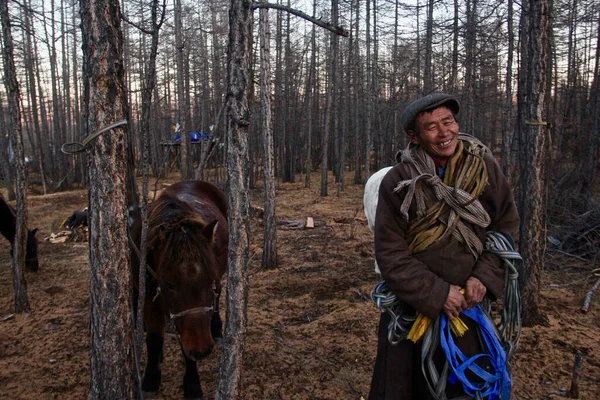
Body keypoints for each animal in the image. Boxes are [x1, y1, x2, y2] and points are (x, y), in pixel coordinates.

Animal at [131, 182, 227, 400]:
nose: (202, 350)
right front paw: (150, 379)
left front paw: (192, 385)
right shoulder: (149, 299)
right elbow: (154, 339)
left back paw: (217, 327)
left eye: (208, 279)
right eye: (170, 284)